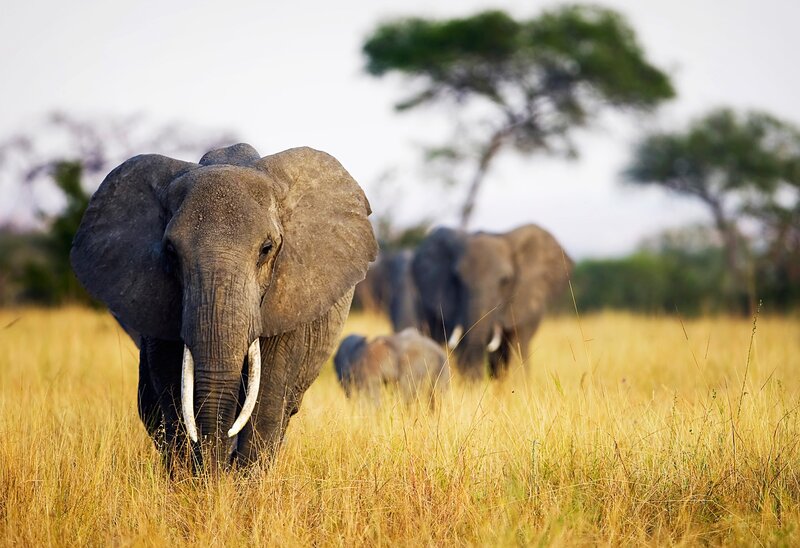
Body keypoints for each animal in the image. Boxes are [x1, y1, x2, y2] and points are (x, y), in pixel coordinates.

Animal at [70, 143, 377, 470]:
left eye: (266, 249)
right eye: (171, 252)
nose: (217, 471)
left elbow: (268, 396)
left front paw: (241, 481)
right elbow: (172, 387)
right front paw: (192, 479)